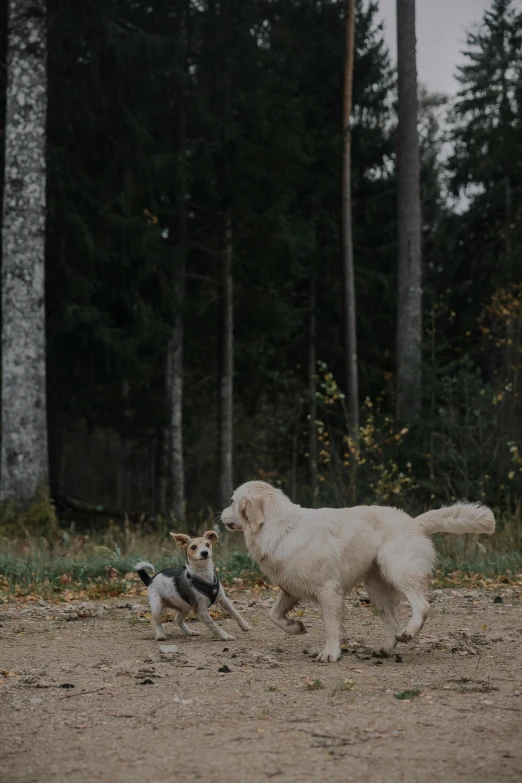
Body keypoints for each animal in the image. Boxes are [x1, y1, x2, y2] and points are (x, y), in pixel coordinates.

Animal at [219, 484, 492, 660]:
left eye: (231, 501)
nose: (220, 515)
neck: (279, 527)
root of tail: (414, 522)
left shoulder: (329, 591)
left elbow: (331, 626)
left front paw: (330, 653)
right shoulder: (291, 588)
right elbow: (273, 615)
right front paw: (295, 627)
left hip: (397, 570)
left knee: (422, 606)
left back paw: (408, 633)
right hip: (376, 590)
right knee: (392, 623)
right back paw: (385, 649)